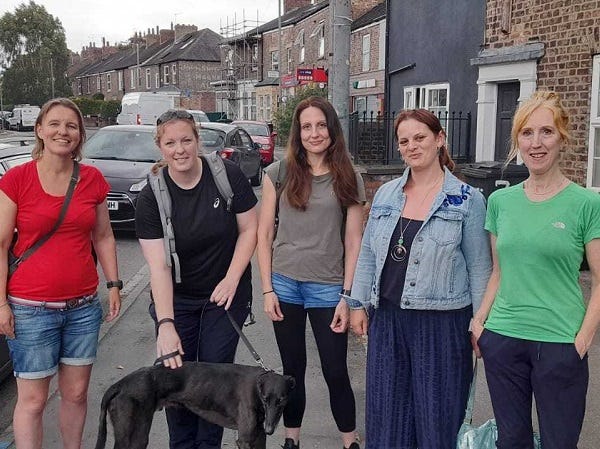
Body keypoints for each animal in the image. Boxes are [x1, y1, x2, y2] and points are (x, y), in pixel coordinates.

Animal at [93, 360, 296, 448]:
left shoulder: (259, 436)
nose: (269, 429)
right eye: (265, 398)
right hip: (134, 435)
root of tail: (119, 385)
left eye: (282, 400)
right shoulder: (245, 439)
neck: (257, 386)